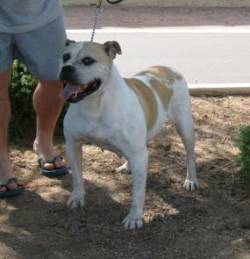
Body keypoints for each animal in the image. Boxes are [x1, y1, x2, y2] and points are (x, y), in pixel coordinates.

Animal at [59, 40, 199, 230]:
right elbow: (77, 176)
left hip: (184, 126)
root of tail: (167, 69)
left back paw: (191, 179)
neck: (95, 104)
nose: (66, 68)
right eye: (65, 57)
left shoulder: (139, 155)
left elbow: (138, 192)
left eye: (88, 60)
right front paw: (77, 196)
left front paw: (135, 217)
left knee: (190, 154)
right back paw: (127, 166)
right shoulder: (72, 145)